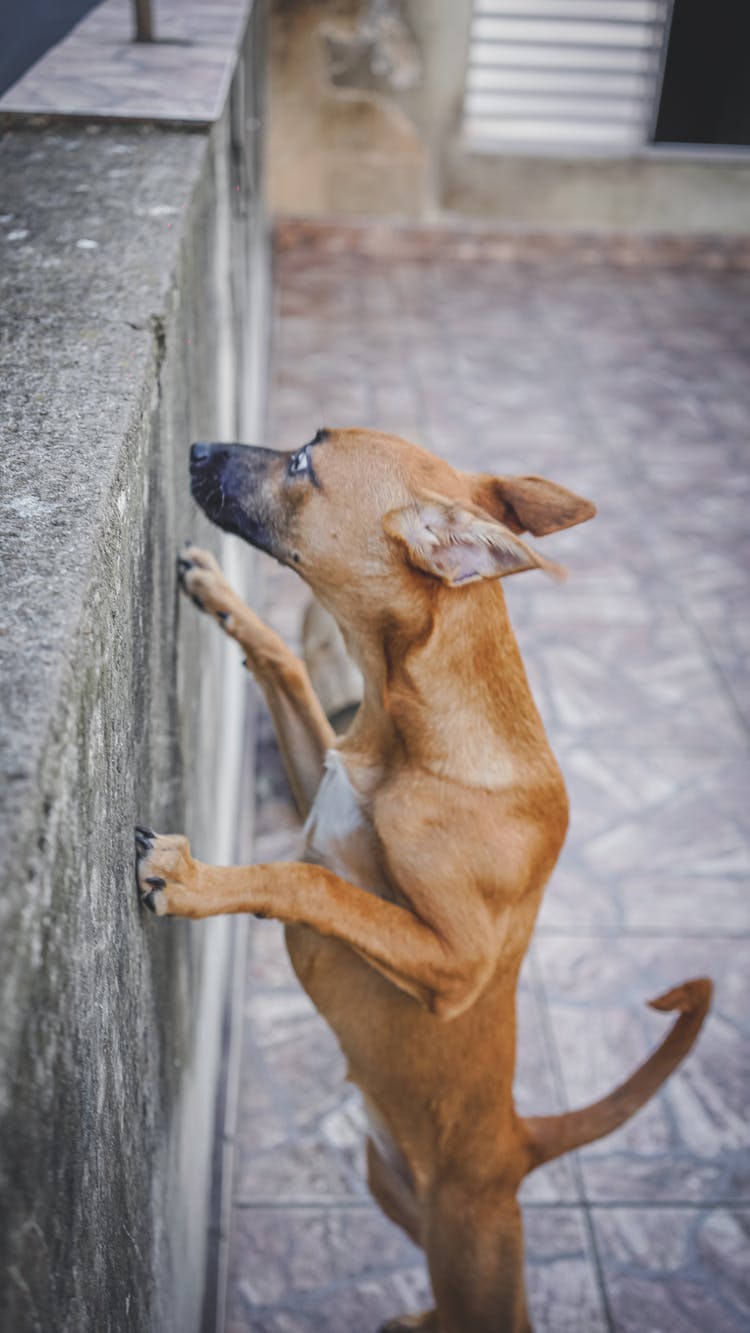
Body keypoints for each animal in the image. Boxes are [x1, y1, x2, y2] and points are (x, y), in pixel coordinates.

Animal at [136, 431, 714, 1327]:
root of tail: (516, 1143)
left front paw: (195, 879)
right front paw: (222, 595)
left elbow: (312, 884)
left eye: (302, 464)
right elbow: (290, 670)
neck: (423, 724)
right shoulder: (325, 782)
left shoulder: (454, 966)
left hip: (471, 1257)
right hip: (390, 1187)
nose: (196, 447)